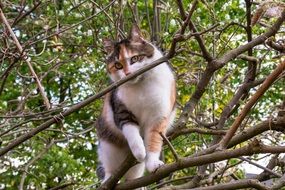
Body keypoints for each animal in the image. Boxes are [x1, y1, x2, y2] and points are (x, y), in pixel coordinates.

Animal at [96, 24, 175, 182]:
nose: (128, 73)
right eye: (118, 65)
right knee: (109, 168)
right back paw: (108, 180)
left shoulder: (158, 116)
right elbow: (132, 133)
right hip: (108, 146)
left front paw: (153, 163)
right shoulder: (121, 112)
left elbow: (154, 140)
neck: (140, 85)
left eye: (135, 58)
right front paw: (139, 152)